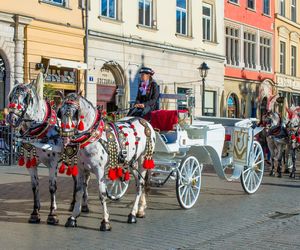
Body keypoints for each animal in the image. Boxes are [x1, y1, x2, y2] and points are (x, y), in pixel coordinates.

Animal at [59, 93, 157, 231]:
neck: (92, 137)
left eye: (74, 113)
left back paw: (133, 214)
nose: (65, 137)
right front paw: (73, 218)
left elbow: (102, 194)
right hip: (131, 162)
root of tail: (145, 122)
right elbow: (79, 192)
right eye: (60, 113)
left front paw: (105, 222)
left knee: (141, 184)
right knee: (140, 183)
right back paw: (140, 210)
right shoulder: (81, 169)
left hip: (143, 159)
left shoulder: (99, 170)